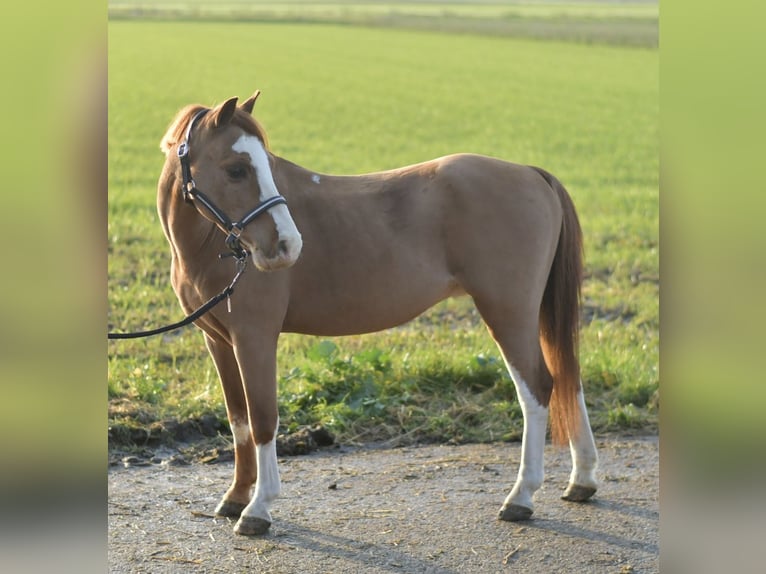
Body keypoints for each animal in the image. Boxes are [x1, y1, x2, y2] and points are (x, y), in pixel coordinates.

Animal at [156, 91, 599, 536]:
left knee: (537, 388)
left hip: (508, 312)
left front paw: (258, 507)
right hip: (532, 313)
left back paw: (521, 496)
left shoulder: (255, 338)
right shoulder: (218, 341)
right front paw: (235, 497)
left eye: (265, 163)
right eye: (236, 169)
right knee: (567, 376)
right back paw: (581, 480)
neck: (207, 248)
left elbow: (264, 418)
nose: (288, 246)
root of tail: (530, 174)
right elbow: (239, 420)